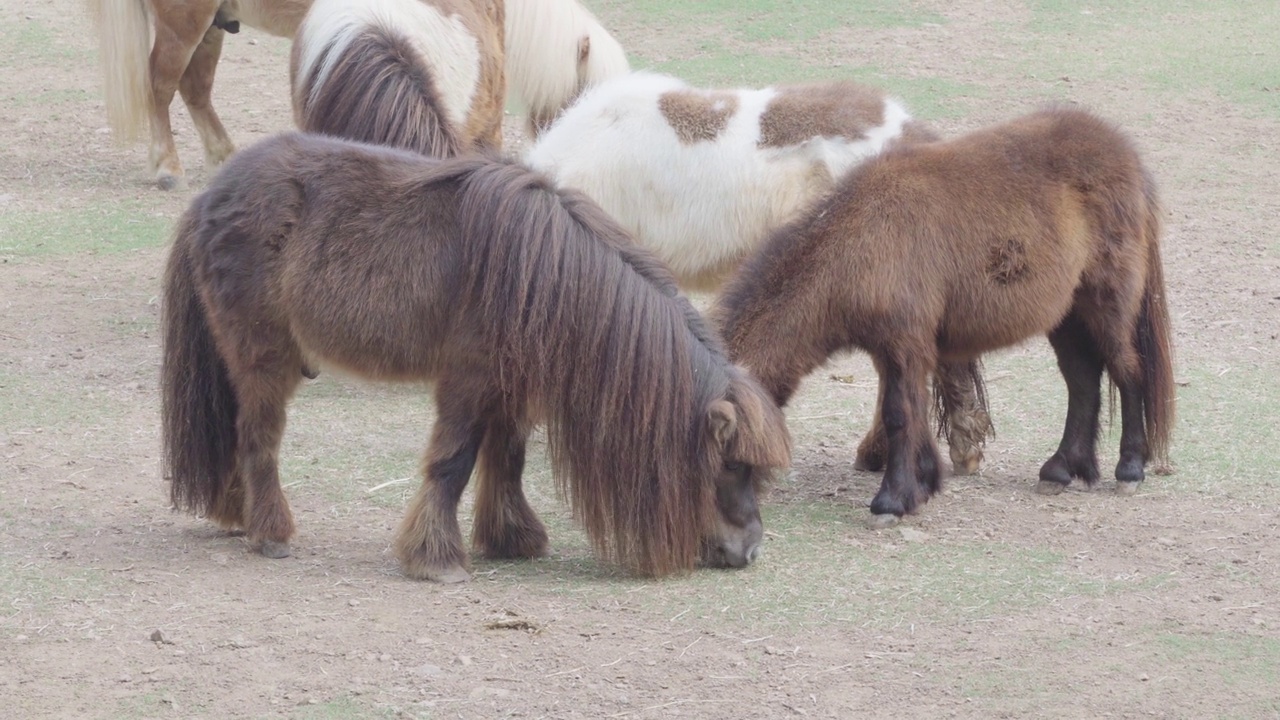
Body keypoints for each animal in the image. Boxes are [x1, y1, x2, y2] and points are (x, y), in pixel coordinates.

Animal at [160, 131, 788, 579]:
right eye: (731, 464)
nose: (750, 551)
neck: (543, 272)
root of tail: (209, 198)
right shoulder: (467, 380)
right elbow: (454, 461)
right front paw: (436, 559)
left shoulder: (510, 385)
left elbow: (506, 459)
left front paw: (512, 539)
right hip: (264, 359)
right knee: (258, 438)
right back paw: (270, 533)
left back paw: (238, 516)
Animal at [716, 105, 1172, 520]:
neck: (859, 238)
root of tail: (1125, 155)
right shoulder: (894, 351)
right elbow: (911, 412)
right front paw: (922, 482)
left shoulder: (905, 344)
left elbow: (899, 415)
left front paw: (892, 500)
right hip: (1067, 317)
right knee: (1083, 381)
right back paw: (1061, 470)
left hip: (1107, 306)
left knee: (1128, 372)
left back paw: (1129, 469)